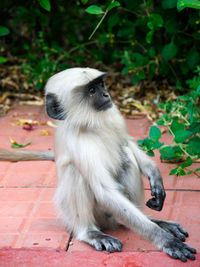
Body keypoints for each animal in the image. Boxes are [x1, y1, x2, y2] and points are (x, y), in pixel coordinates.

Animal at [0, 68, 196, 262]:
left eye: (101, 85)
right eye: (92, 91)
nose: (106, 95)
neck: (89, 126)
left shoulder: (113, 120)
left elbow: (127, 144)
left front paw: (156, 178)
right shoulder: (77, 143)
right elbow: (104, 191)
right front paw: (166, 240)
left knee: (127, 156)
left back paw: (152, 219)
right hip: (98, 216)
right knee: (76, 172)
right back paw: (90, 232)